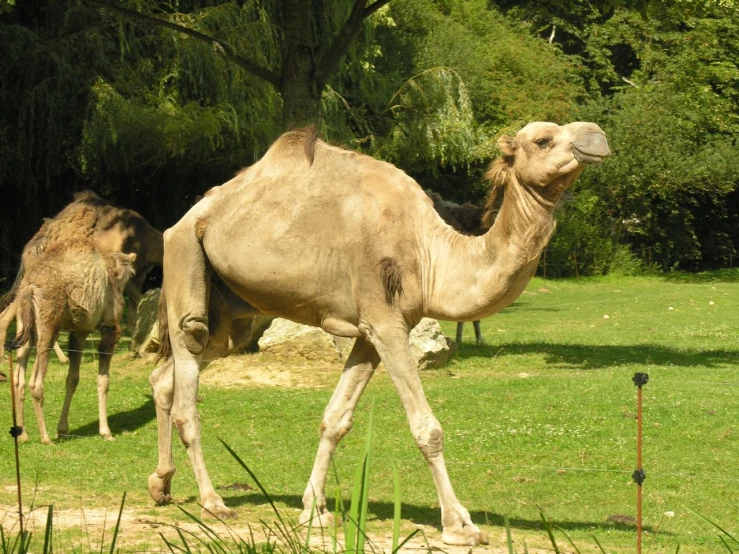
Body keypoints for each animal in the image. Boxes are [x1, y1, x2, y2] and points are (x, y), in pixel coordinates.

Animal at [10, 238, 137, 444]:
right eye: (131, 274)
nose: (125, 299)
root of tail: (29, 288)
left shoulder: (80, 331)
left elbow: (72, 379)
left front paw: (63, 429)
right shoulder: (109, 327)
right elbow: (103, 380)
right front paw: (106, 432)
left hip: (24, 327)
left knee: (18, 380)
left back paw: (23, 435)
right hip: (48, 326)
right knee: (35, 384)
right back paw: (45, 438)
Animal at [152, 122, 612, 544]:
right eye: (543, 140)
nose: (598, 136)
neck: (430, 256)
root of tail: (183, 219)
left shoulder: (372, 331)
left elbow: (335, 419)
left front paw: (314, 510)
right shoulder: (385, 322)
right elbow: (427, 428)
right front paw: (459, 525)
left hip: (231, 309)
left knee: (165, 376)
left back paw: (161, 485)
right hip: (185, 257)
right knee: (187, 378)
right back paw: (213, 502)